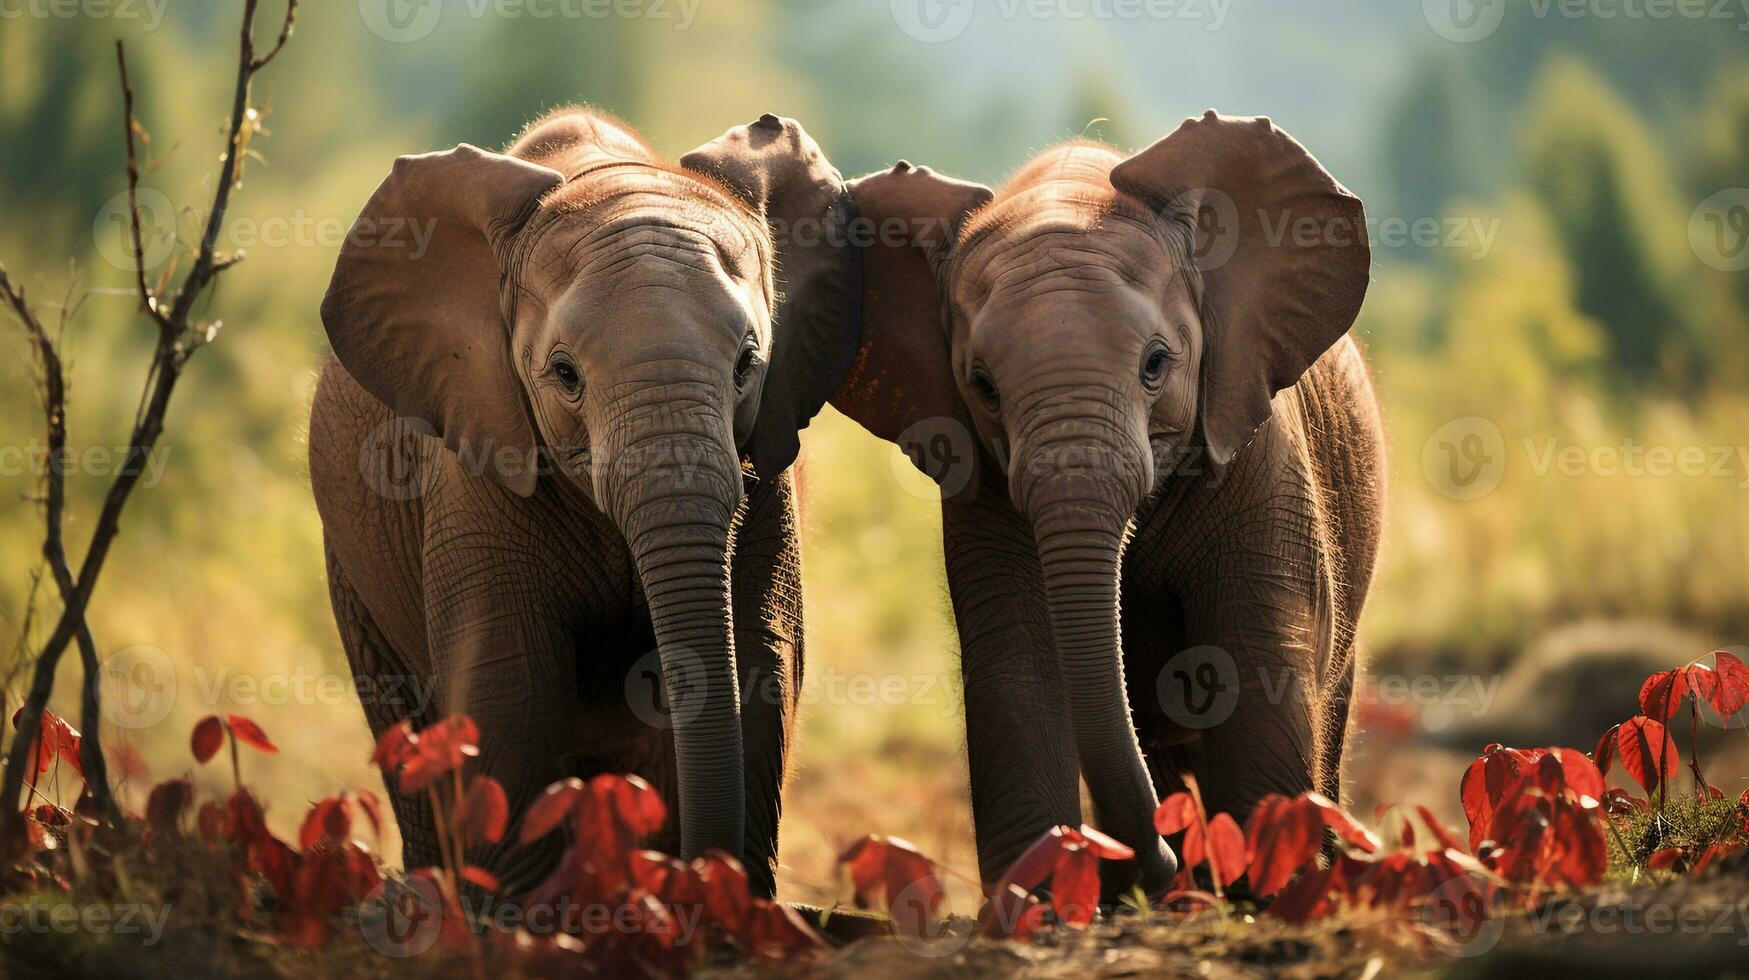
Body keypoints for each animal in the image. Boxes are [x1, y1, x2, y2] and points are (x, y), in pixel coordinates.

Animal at [313, 108, 867, 896]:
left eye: (747, 364)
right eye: (565, 374)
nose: (705, 872)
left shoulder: (763, 471)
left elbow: (762, 663)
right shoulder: (478, 459)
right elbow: (509, 681)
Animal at [825, 111, 1385, 892]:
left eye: (1156, 364)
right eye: (982, 385)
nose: (1151, 862)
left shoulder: (1258, 455)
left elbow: (1255, 658)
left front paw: (1268, 889)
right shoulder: (983, 488)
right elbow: (1017, 666)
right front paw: (1046, 894)